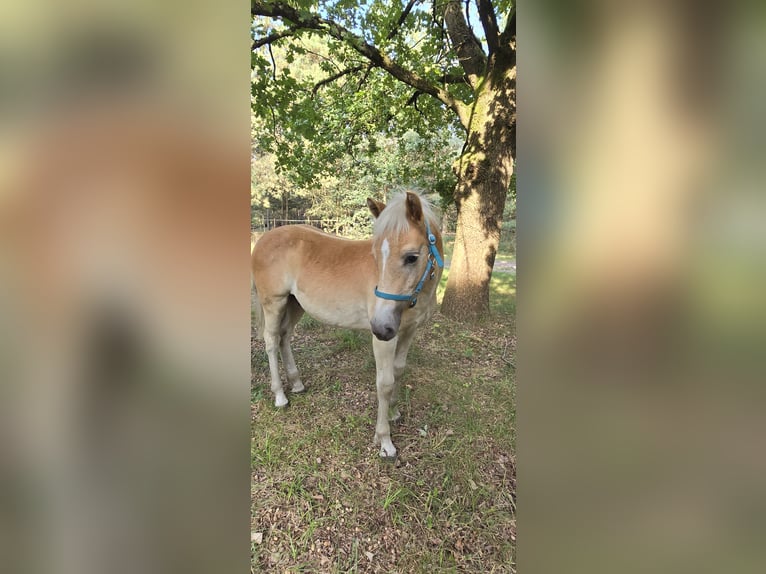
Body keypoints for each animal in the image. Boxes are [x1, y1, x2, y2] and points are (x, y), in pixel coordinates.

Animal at [252, 192, 444, 460]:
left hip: (295, 304)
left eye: (411, 257)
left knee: (284, 337)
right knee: (270, 341)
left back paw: (297, 384)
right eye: (376, 257)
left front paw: (394, 413)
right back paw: (280, 396)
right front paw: (384, 441)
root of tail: (263, 239)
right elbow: (384, 383)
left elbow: (398, 371)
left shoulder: (408, 331)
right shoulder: (385, 340)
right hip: (274, 302)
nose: (381, 326)